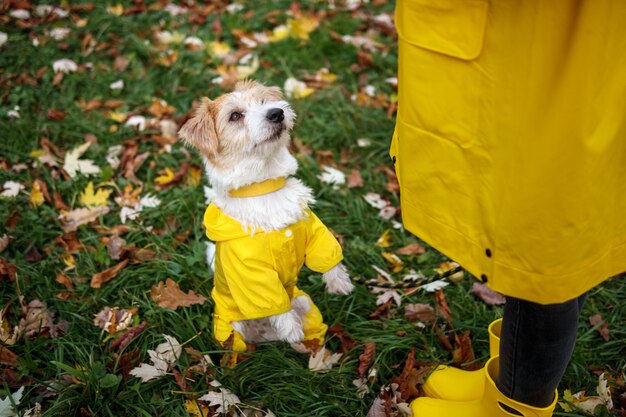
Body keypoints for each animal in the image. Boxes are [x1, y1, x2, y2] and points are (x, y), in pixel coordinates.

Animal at [178, 80, 354, 358]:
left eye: (263, 101)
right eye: (235, 115)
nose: (276, 113)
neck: (263, 186)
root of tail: (264, 337)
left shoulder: (314, 229)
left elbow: (328, 254)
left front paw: (340, 283)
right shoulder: (252, 273)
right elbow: (274, 302)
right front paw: (290, 326)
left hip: (305, 304)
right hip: (232, 329)